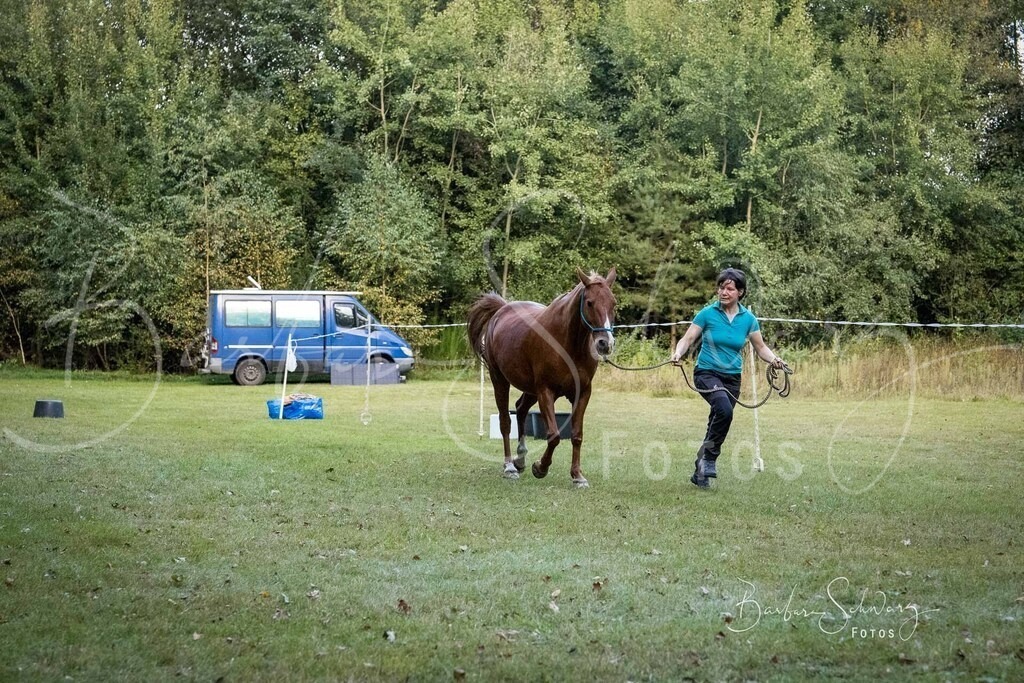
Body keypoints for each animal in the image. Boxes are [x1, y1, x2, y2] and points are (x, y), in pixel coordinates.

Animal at [467, 268, 617, 488]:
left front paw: (577, 476)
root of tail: (502, 310)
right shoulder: (546, 391)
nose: (605, 344)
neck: (567, 343)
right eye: (590, 302)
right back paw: (510, 466)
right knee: (505, 421)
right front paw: (540, 467)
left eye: (613, 303)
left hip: (531, 390)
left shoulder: (582, 393)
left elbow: (577, 435)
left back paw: (520, 459)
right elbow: (553, 436)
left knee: (520, 409)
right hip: (500, 380)